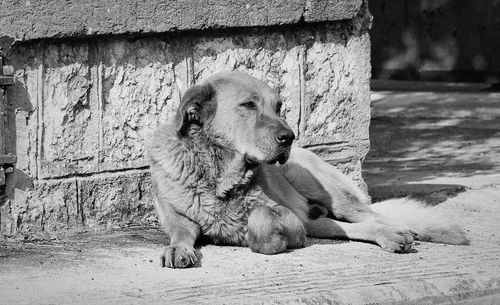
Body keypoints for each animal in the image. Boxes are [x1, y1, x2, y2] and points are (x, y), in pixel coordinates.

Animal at [146, 70, 470, 266]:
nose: (289, 137)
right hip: (320, 218)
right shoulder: (176, 217)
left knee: (372, 216)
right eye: (248, 105)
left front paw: (265, 238)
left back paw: (400, 232)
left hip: (323, 191)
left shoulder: (294, 220)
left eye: (278, 107)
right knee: (352, 226)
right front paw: (179, 249)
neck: (219, 176)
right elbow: (181, 232)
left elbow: (261, 217)